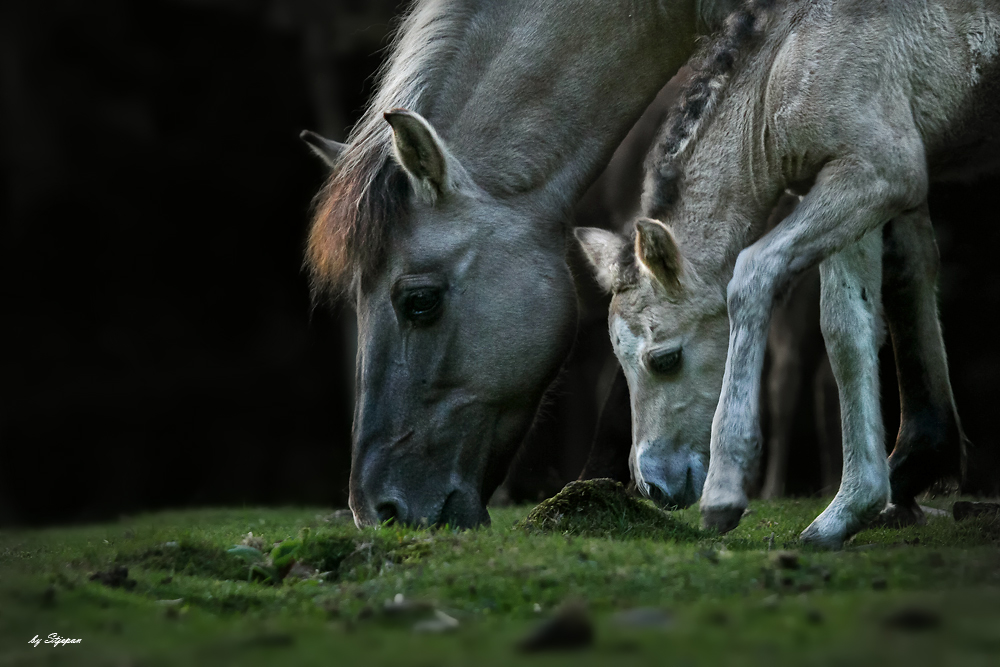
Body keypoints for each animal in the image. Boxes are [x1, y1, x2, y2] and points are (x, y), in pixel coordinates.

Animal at [576, 0, 988, 544]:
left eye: (665, 359)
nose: (653, 488)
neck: (789, 60)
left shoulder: (881, 170)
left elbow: (753, 275)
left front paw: (726, 494)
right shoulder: (855, 183)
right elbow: (848, 327)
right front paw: (852, 506)